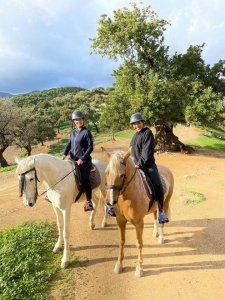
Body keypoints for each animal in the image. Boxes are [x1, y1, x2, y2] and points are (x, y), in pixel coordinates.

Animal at [102, 147, 174, 276]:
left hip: (166, 202)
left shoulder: (139, 223)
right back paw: (155, 233)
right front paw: (119, 265)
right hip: (155, 206)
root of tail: (166, 169)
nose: (110, 201)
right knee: (155, 216)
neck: (127, 197)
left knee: (162, 219)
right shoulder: (120, 221)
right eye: (106, 172)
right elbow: (121, 241)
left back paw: (161, 237)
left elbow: (139, 243)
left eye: (122, 175)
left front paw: (139, 268)